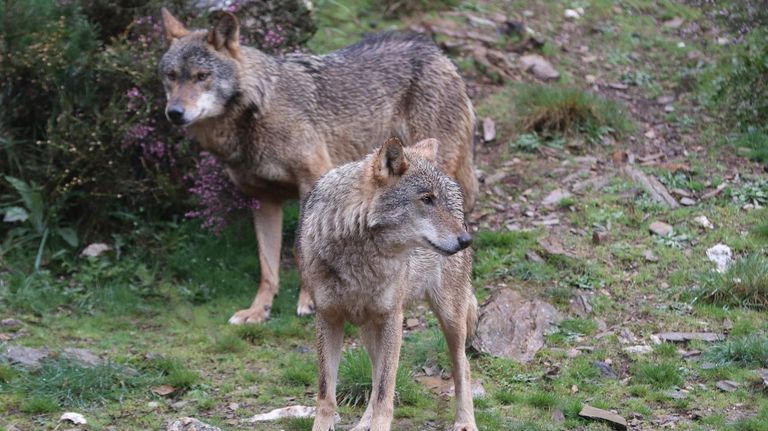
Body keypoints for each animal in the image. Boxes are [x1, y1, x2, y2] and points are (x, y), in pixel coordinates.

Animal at [159, 8, 478, 324]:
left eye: (202, 76)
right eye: (171, 76)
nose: (174, 113)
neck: (257, 110)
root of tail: (438, 53)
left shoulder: (311, 179)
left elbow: (300, 248)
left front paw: (309, 300)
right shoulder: (263, 199)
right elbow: (267, 265)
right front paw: (258, 310)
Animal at [297, 137, 478, 431]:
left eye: (437, 201)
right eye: (427, 199)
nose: (466, 240)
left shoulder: (393, 317)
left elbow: (385, 393)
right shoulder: (328, 317)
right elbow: (326, 394)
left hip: (449, 318)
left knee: (463, 366)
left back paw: (465, 422)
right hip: (369, 329)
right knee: (374, 374)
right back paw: (363, 425)